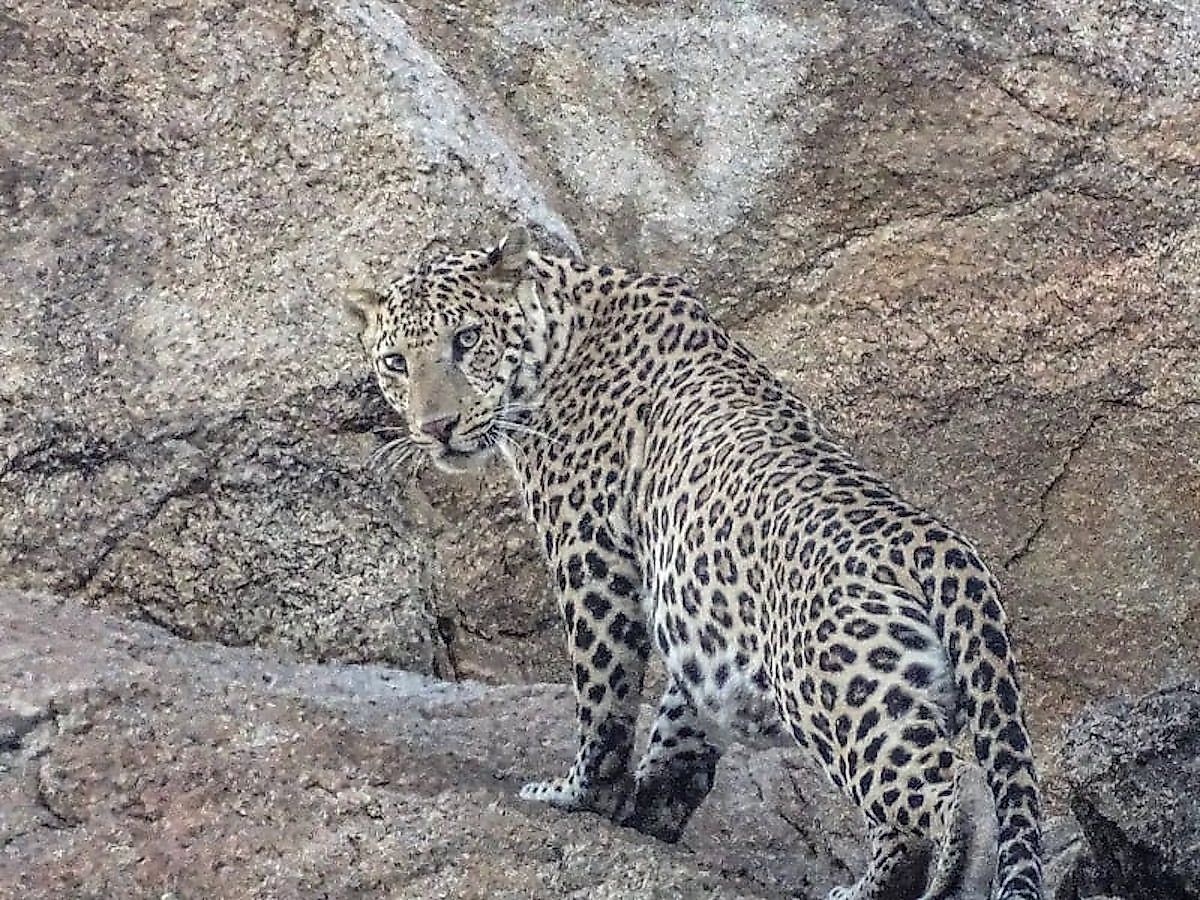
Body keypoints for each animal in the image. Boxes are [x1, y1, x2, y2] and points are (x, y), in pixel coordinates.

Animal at [345, 226, 1041, 900]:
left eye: (466, 340)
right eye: (394, 361)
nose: (437, 427)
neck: (562, 326)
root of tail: (937, 544)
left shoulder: (591, 556)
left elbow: (603, 696)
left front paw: (578, 795)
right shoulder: (698, 621)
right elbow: (682, 718)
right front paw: (652, 804)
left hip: (847, 696)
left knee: (950, 799)